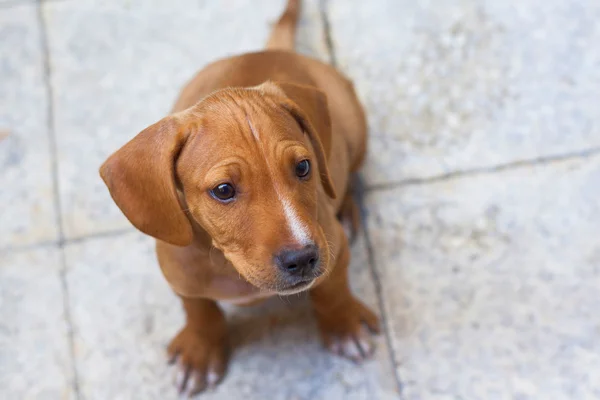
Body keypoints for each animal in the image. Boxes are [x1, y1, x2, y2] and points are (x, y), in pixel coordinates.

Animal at [100, 0, 378, 394]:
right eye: (223, 190)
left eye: (303, 167)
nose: (303, 258)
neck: (226, 263)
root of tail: (269, 50)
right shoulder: (179, 274)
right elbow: (199, 309)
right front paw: (200, 349)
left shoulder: (333, 252)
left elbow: (333, 290)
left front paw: (344, 326)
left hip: (353, 124)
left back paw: (349, 208)